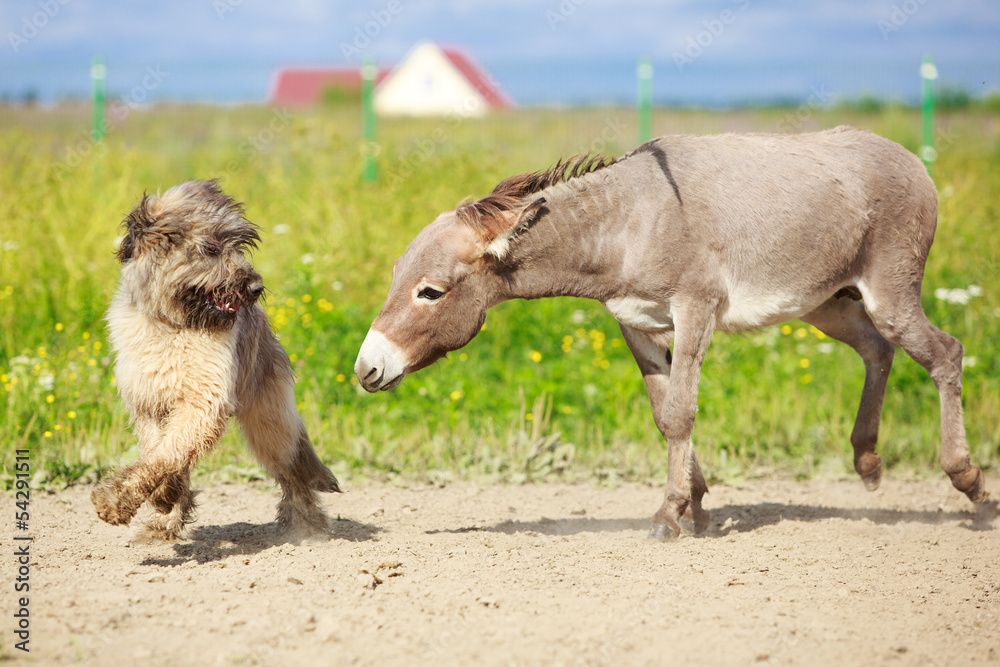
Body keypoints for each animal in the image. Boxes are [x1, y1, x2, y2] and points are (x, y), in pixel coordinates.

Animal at [92, 180, 340, 540]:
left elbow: (166, 456)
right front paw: (165, 497)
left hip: (269, 420)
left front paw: (117, 501)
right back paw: (166, 524)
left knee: (292, 469)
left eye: (239, 246)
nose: (256, 287)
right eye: (210, 248)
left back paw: (307, 525)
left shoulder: (204, 401)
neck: (175, 327)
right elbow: (160, 453)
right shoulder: (149, 403)